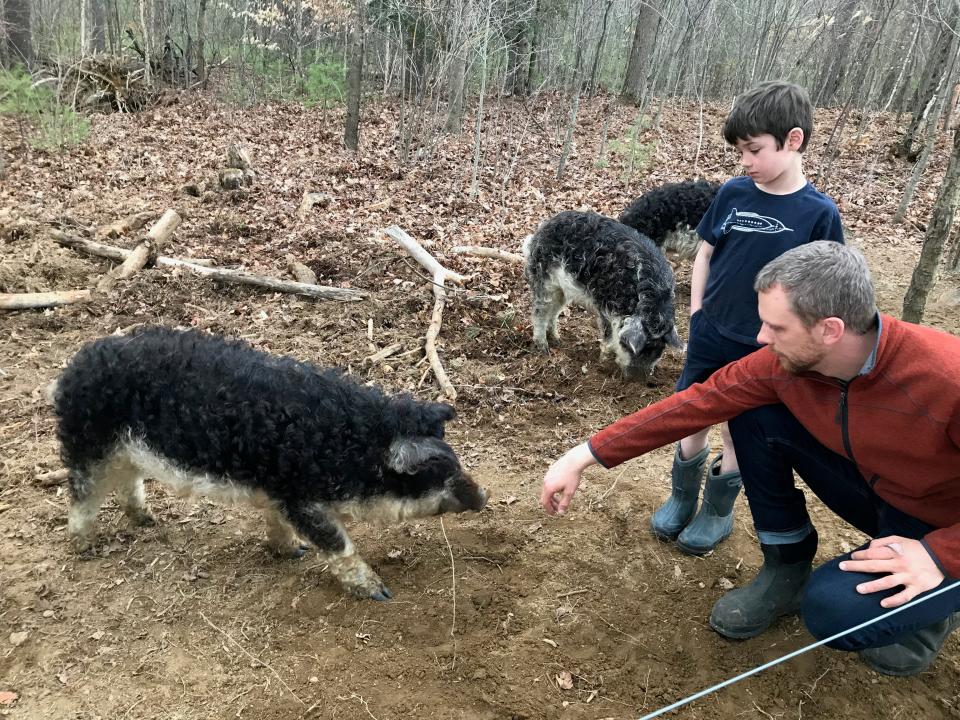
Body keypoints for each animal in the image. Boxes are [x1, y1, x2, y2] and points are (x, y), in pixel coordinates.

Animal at [50, 324, 488, 596]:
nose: (484, 497)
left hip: (127, 451)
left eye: (455, 461)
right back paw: (84, 547)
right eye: (438, 474)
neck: (352, 446)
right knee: (82, 495)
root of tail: (70, 371)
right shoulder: (301, 495)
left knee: (128, 481)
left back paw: (147, 520)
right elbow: (338, 544)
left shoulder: (279, 490)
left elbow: (278, 524)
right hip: (88, 446)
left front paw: (293, 553)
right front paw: (379, 592)